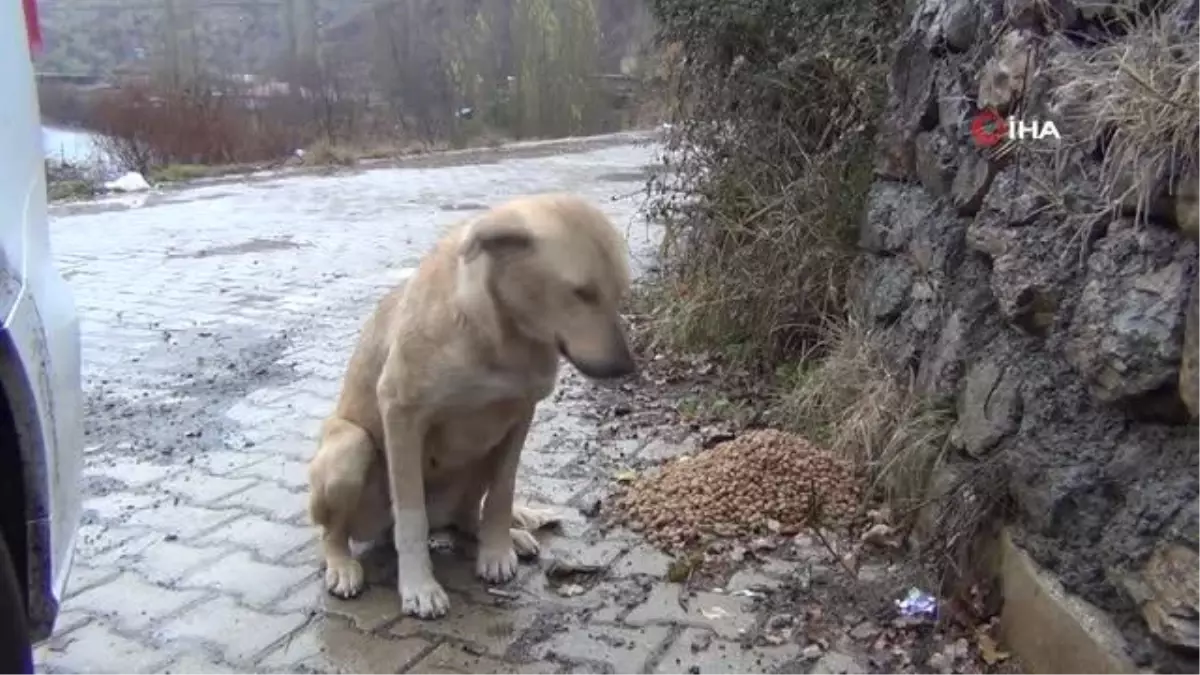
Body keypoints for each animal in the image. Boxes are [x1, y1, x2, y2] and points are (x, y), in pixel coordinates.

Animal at [307, 192, 638, 619]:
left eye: (618, 291)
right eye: (582, 292)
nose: (626, 368)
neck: (501, 336)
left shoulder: (519, 417)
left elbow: (501, 495)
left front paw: (495, 550)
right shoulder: (401, 415)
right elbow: (410, 518)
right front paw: (419, 585)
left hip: (479, 457)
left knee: (467, 517)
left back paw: (505, 534)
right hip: (351, 449)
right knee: (335, 531)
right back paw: (342, 564)